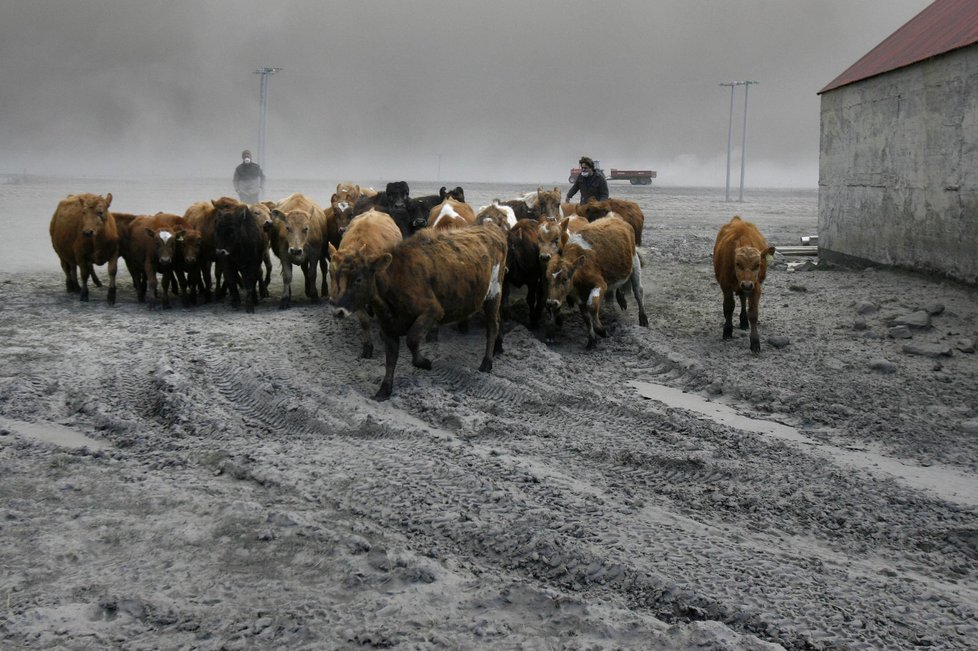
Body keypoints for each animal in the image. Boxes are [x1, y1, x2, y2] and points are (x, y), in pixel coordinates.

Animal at [326, 209, 402, 360]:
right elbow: (364, 322)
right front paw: (367, 347)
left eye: (358, 279)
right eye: (330, 272)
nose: (337, 311)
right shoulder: (356, 300)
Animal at [330, 225, 508, 402]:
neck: (396, 279)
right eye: (334, 275)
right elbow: (391, 359)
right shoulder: (388, 328)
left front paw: (424, 362)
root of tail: (492, 229)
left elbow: (412, 339)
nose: (337, 309)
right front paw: (384, 390)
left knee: (493, 325)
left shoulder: (433, 311)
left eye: (358, 279)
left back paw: (486, 362)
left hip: (494, 293)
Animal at [712, 216, 772, 354]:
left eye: (757, 265)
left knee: (743, 299)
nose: (747, 285)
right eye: (738, 263)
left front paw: (755, 342)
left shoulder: (756, 287)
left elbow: (753, 314)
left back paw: (744, 321)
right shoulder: (726, 286)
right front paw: (727, 330)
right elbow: (729, 307)